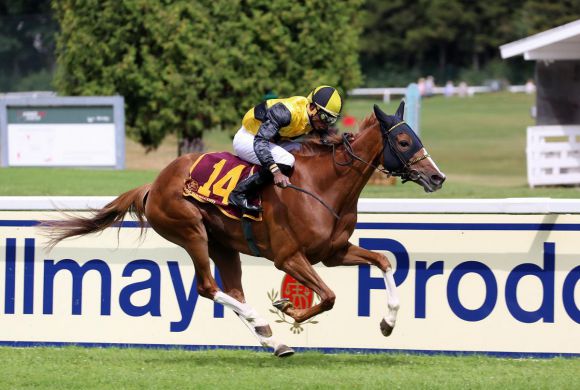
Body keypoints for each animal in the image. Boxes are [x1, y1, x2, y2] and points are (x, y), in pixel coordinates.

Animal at [44, 103, 444, 356]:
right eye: (404, 141)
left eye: (417, 138)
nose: (437, 177)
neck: (324, 185)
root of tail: (153, 185)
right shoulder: (289, 257)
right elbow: (329, 296)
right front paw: (288, 308)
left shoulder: (334, 252)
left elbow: (383, 261)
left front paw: (388, 323)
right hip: (191, 231)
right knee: (208, 287)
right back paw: (264, 323)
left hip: (223, 245)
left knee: (233, 290)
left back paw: (273, 341)